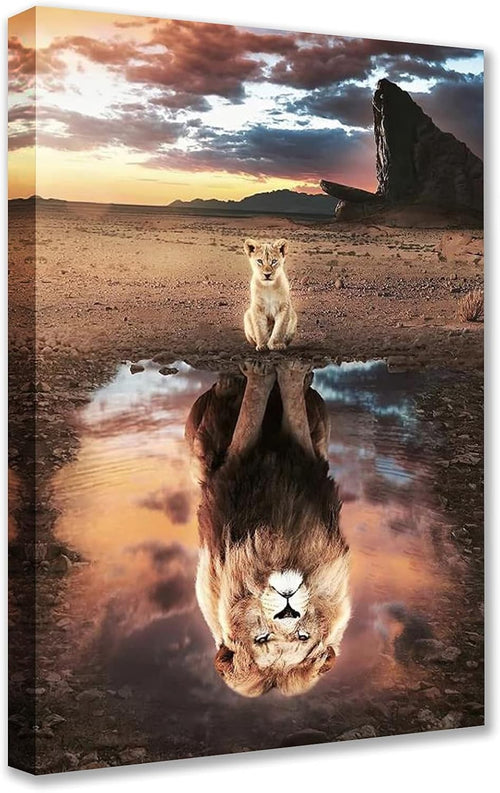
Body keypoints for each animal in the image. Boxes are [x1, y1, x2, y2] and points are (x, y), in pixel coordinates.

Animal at [185, 360, 351, 697]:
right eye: (261, 638)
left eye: (302, 636)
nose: (288, 609)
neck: (277, 547)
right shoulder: (234, 461)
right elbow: (251, 412)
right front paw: (262, 370)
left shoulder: (308, 454)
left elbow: (291, 413)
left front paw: (288, 371)